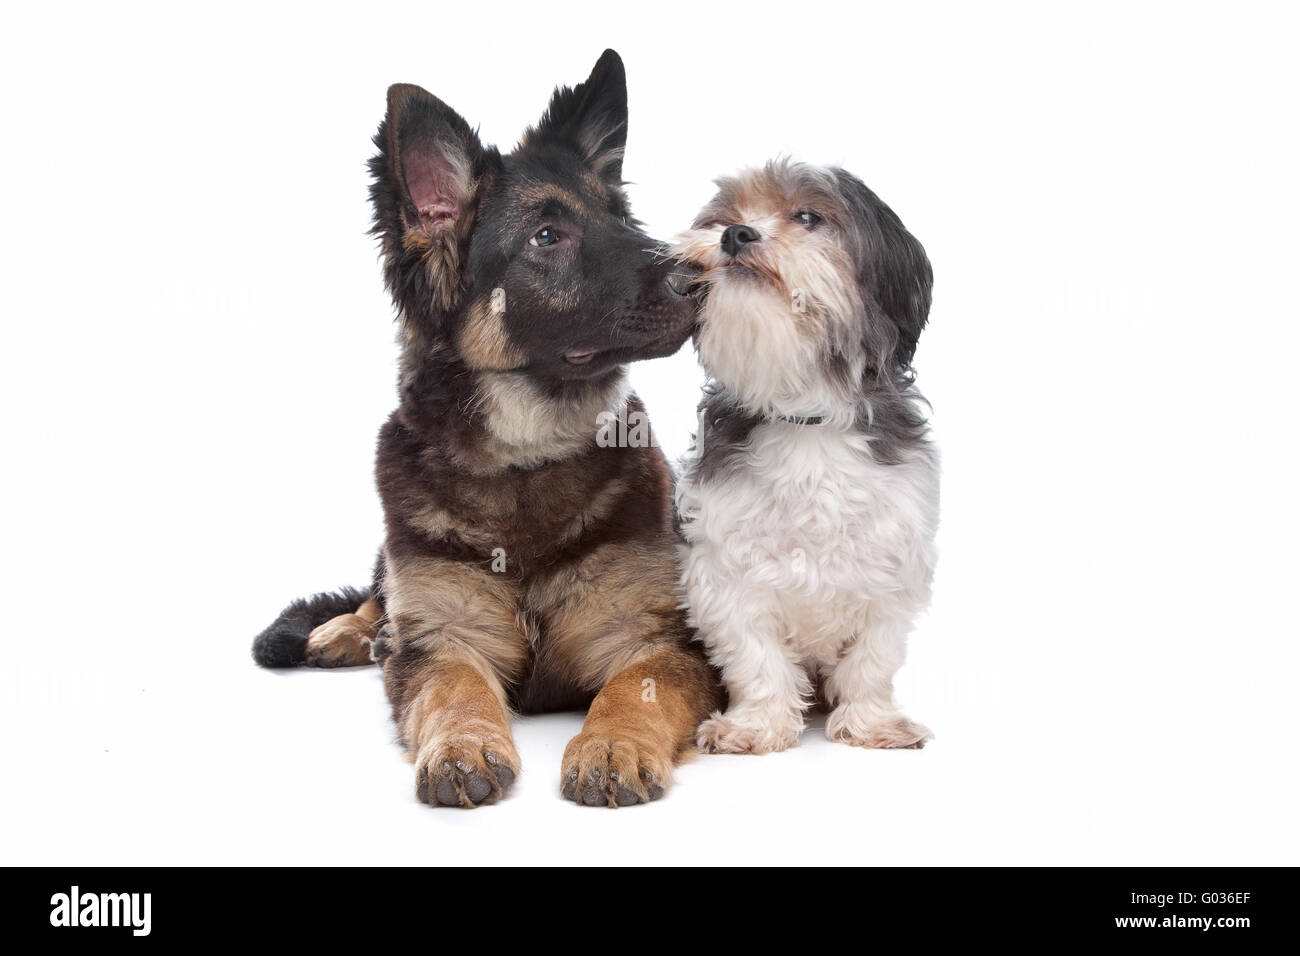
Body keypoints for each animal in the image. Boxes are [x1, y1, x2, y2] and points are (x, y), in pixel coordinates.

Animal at [250, 48, 722, 806]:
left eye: (624, 218)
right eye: (547, 236)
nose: (703, 278)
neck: (523, 458)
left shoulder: (652, 637)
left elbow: (634, 689)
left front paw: (612, 744)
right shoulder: (444, 636)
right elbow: (452, 685)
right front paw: (463, 742)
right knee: (380, 596)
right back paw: (347, 631)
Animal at [676, 158, 941, 754]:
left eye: (807, 217)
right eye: (724, 217)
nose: (735, 234)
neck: (807, 421)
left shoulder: (890, 569)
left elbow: (872, 660)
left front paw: (871, 723)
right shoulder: (725, 576)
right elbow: (755, 659)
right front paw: (757, 724)